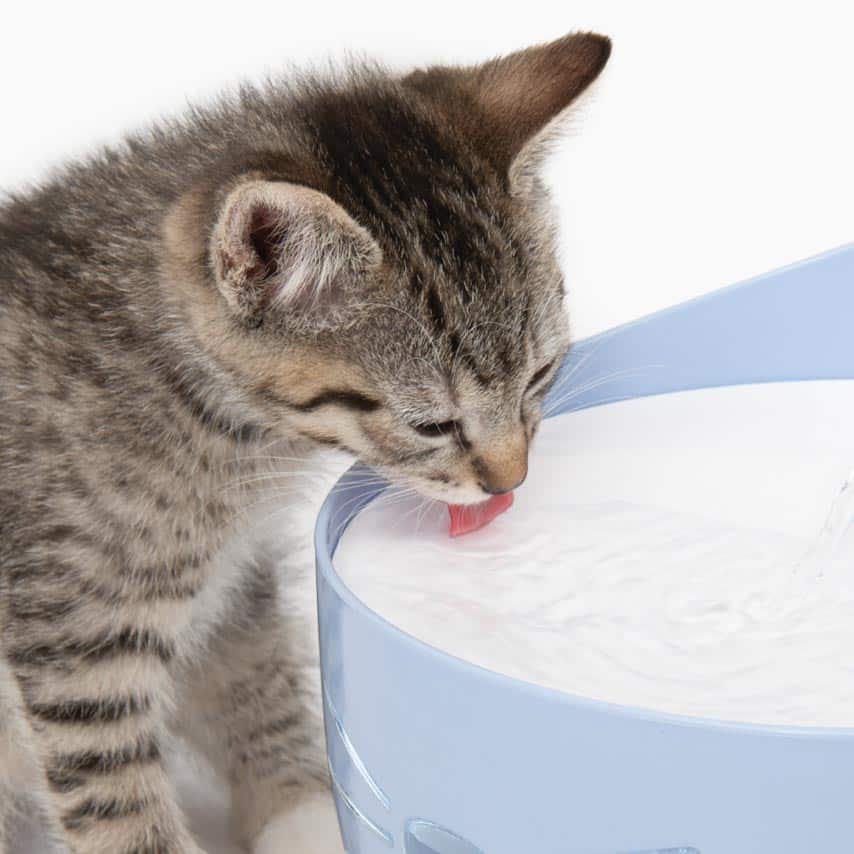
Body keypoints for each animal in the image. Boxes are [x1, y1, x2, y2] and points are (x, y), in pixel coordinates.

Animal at [1, 30, 616, 852]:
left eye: (540, 375)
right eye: (433, 424)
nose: (509, 482)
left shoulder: (231, 587)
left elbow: (252, 682)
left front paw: (303, 815)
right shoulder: (75, 634)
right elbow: (116, 803)